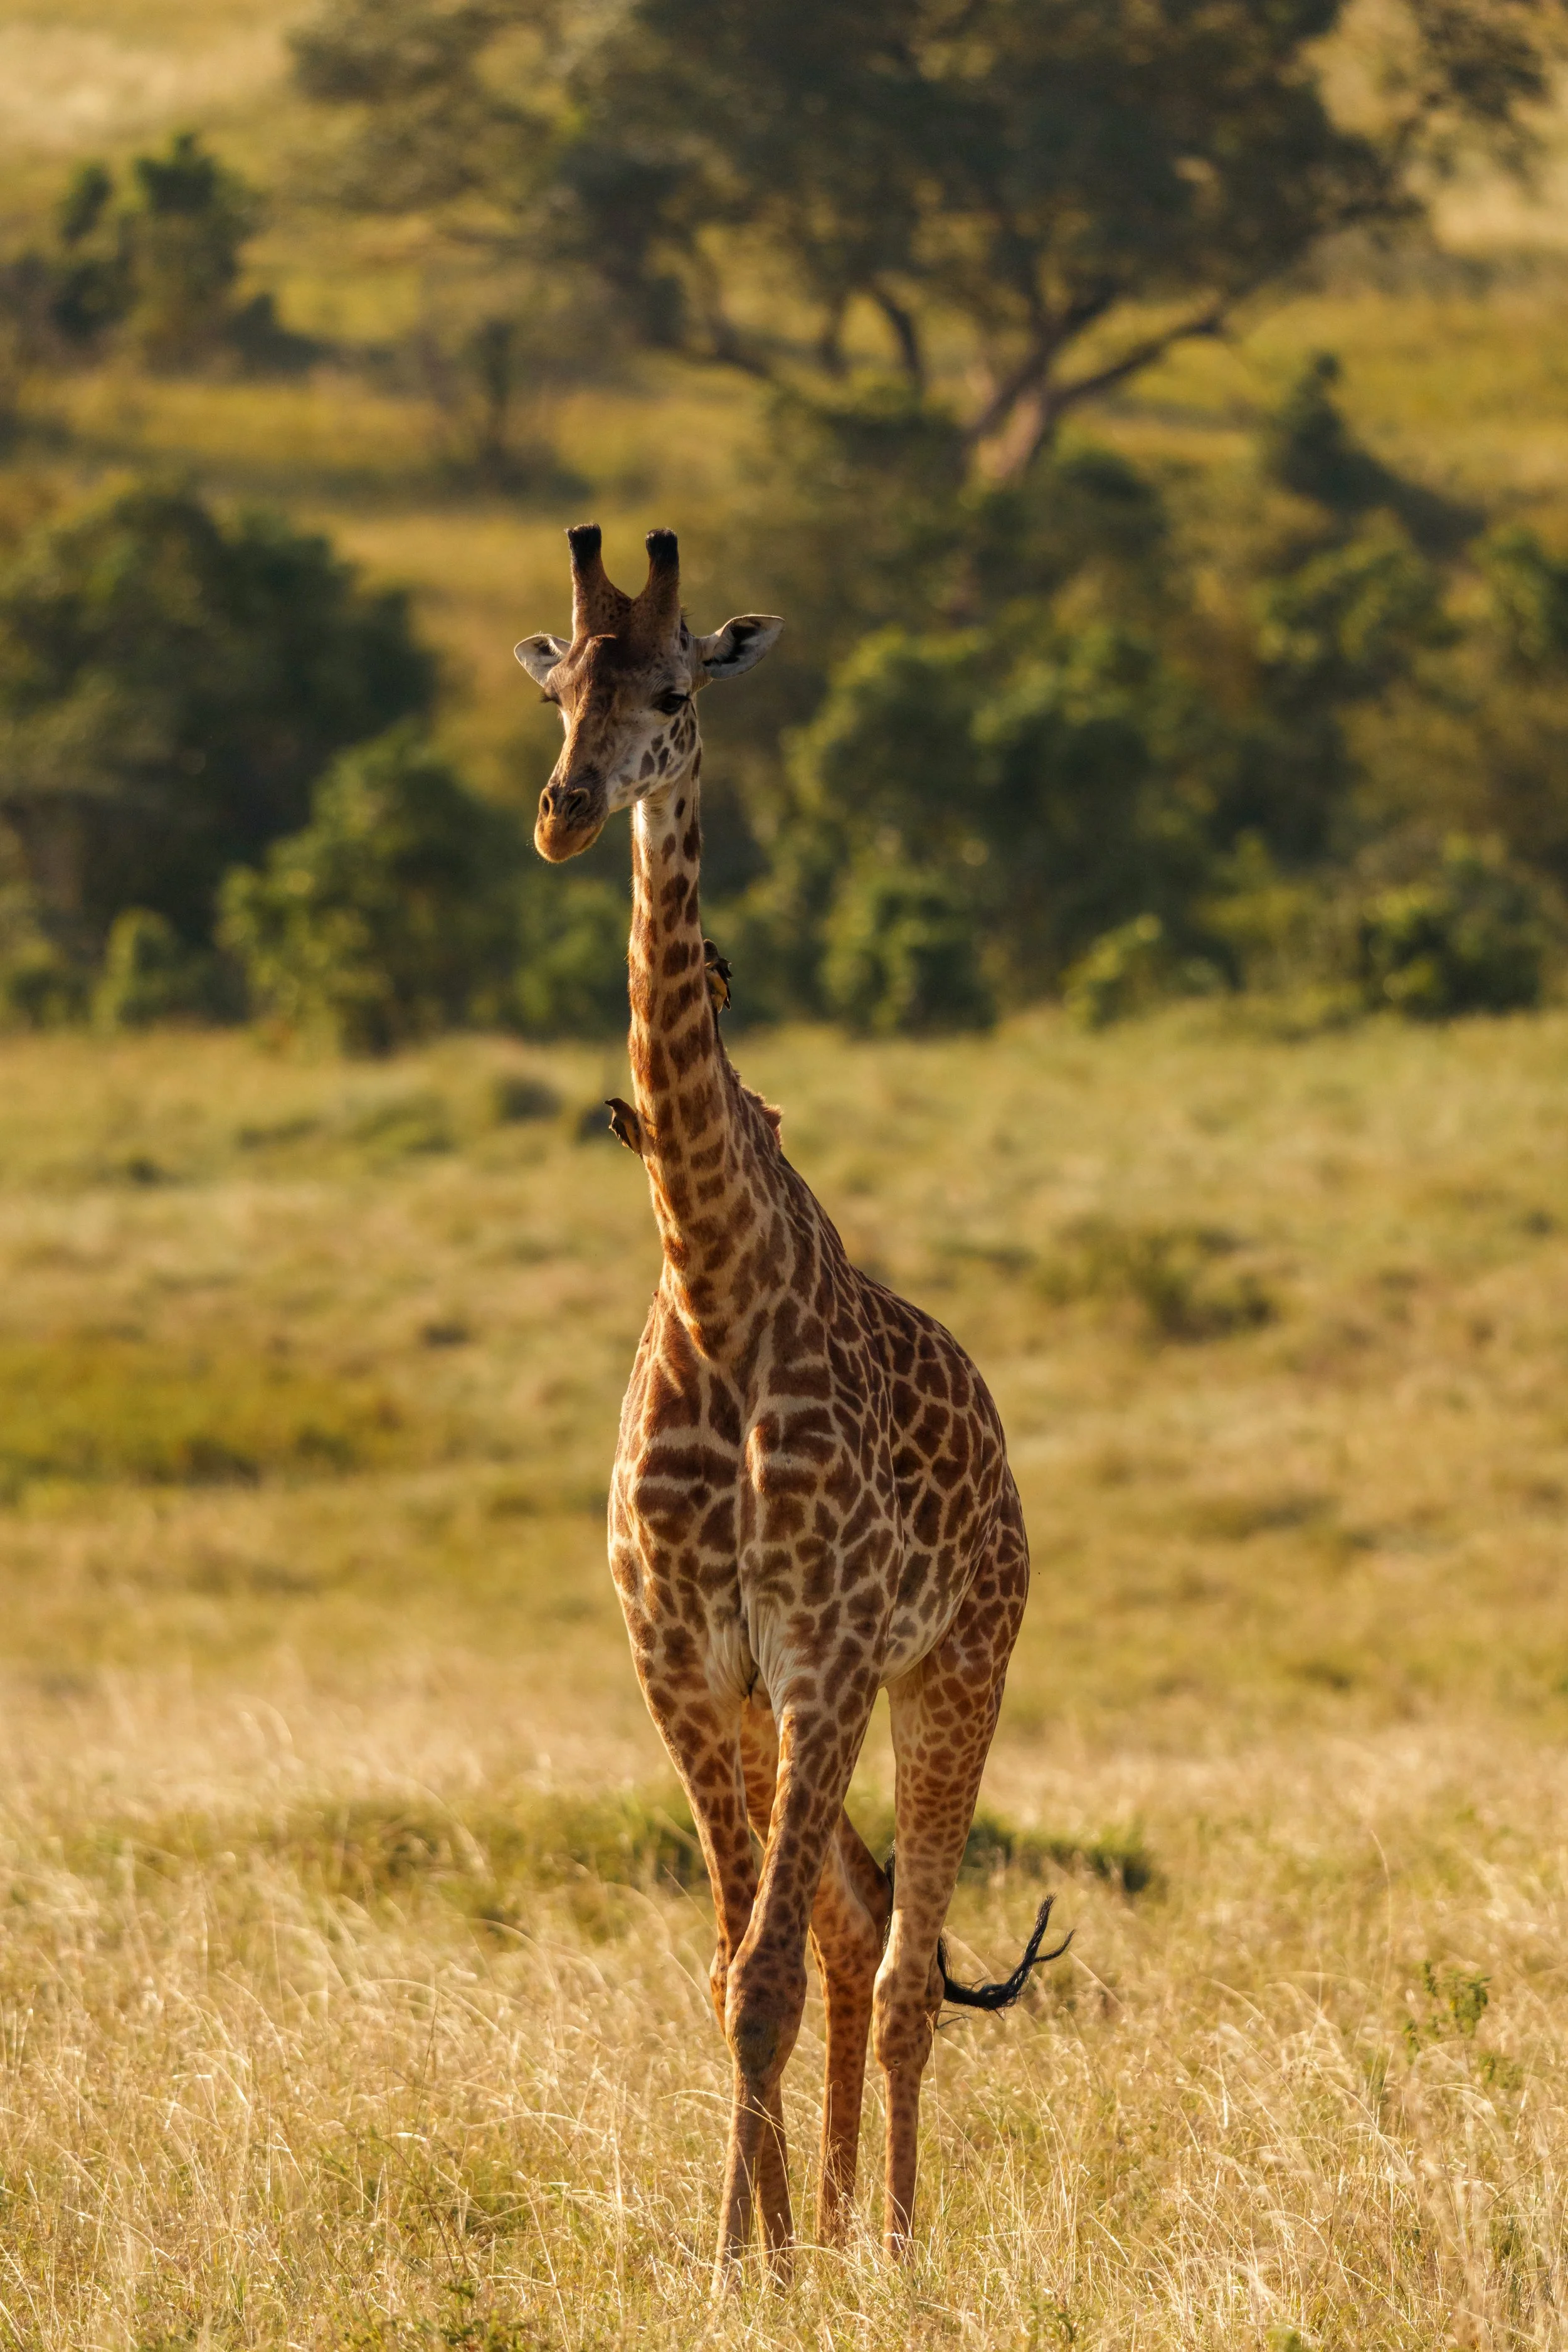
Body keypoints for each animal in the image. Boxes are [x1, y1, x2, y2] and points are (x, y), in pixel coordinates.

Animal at [515, 524, 1064, 2279]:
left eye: (676, 693)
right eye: (559, 688)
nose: (565, 811)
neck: (711, 1277)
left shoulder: (823, 1651)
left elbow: (759, 1976)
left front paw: (748, 2256)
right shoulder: (687, 1663)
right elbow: (726, 1969)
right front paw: (744, 2250)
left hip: (958, 1662)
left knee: (896, 1967)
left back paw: (888, 2239)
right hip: (794, 1704)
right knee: (843, 1928)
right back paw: (821, 2225)